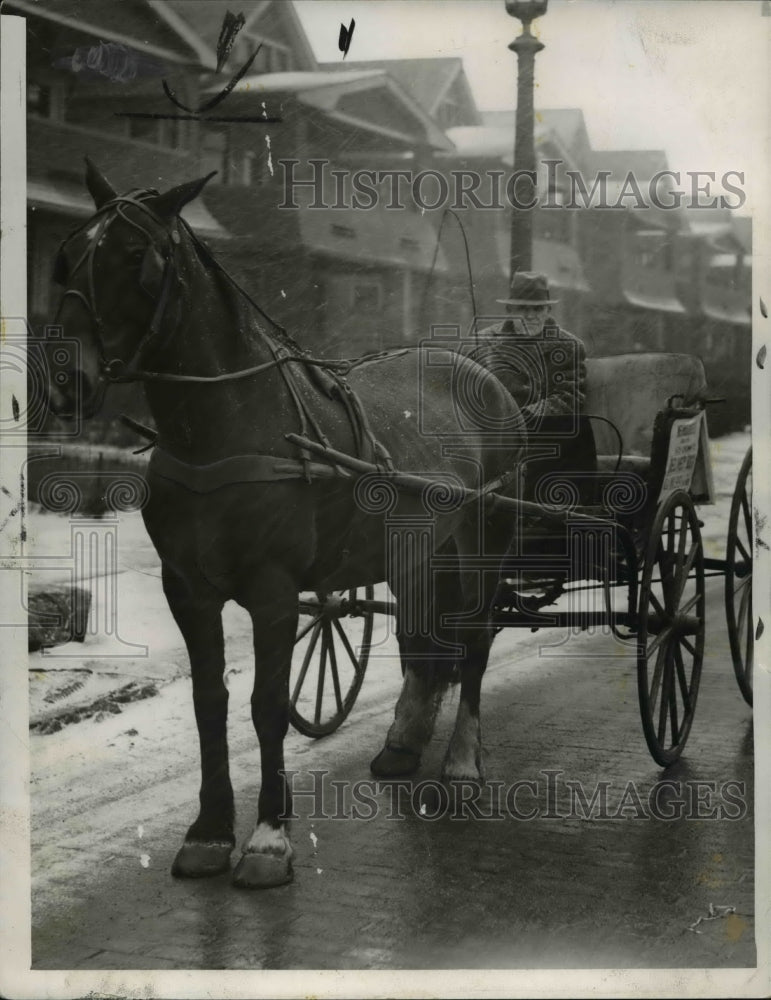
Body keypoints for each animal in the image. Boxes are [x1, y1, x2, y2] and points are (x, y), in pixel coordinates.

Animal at [48, 164, 528, 892]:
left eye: (136, 257)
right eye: (69, 253)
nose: (65, 381)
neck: (221, 429)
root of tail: (479, 370)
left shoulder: (273, 592)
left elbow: (267, 705)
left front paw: (270, 839)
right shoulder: (186, 590)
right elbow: (211, 704)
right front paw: (209, 833)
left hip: (486, 538)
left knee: (472, 641)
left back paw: (461, 761)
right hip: (418, 550)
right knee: (422, 642)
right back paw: (401, 744)